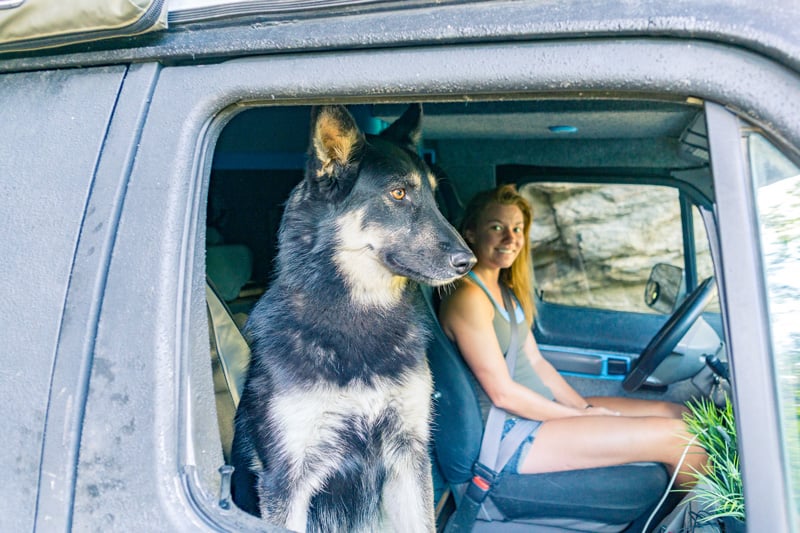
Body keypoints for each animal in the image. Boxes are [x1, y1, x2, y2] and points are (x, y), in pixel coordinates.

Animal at [231, 105, 476, 532]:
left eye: (433, 195)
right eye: (398, 193)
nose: (470, 261)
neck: (357, 317)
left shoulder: (409, 455)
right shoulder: (285, 480)